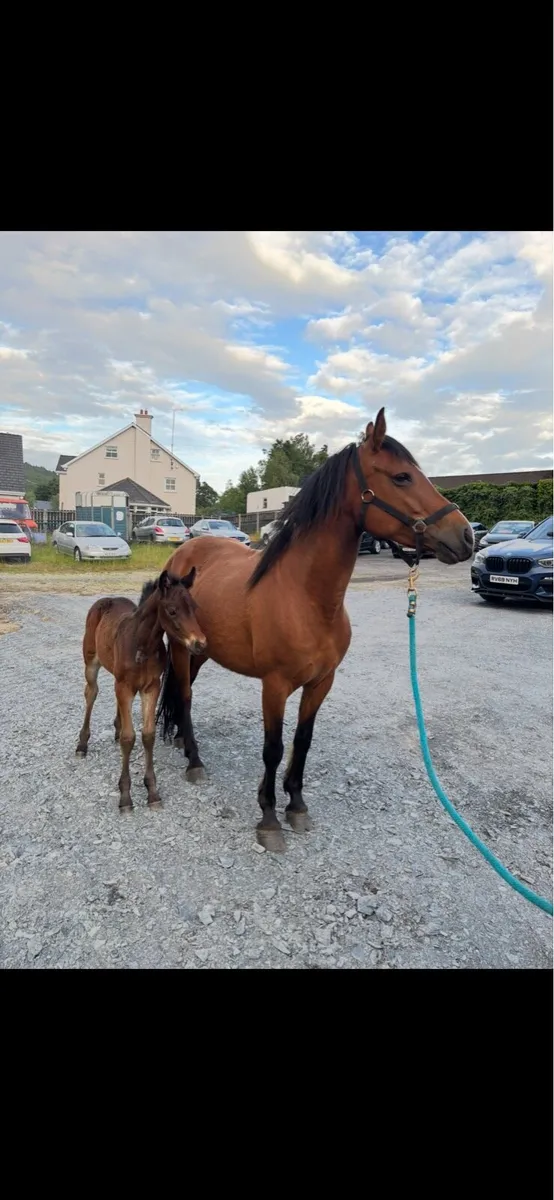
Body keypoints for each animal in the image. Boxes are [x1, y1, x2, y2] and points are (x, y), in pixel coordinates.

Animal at [76, 568, 206, 810]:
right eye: (172, 611)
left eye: (194, 608)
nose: (200, 644)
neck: (141, 644)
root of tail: (107, 599)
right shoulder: (125, 686)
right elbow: (129, 738)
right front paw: (125, 796)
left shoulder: (151, 687)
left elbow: (148, 735)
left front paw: (152, 791)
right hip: (91, 662)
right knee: (91, 693)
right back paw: (82, 744)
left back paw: (115, 729)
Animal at [157, 408, 474, 852]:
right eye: (402, 477)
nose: (466, 536)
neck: (306, 598)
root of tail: (184, 552)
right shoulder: (274, 686)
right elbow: (273, 748)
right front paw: (269, 818)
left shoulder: (322, 682)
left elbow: (302, 742)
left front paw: (296, 806)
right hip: (183, 649)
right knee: (184, 697)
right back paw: (194, 761)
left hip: (202, 651)